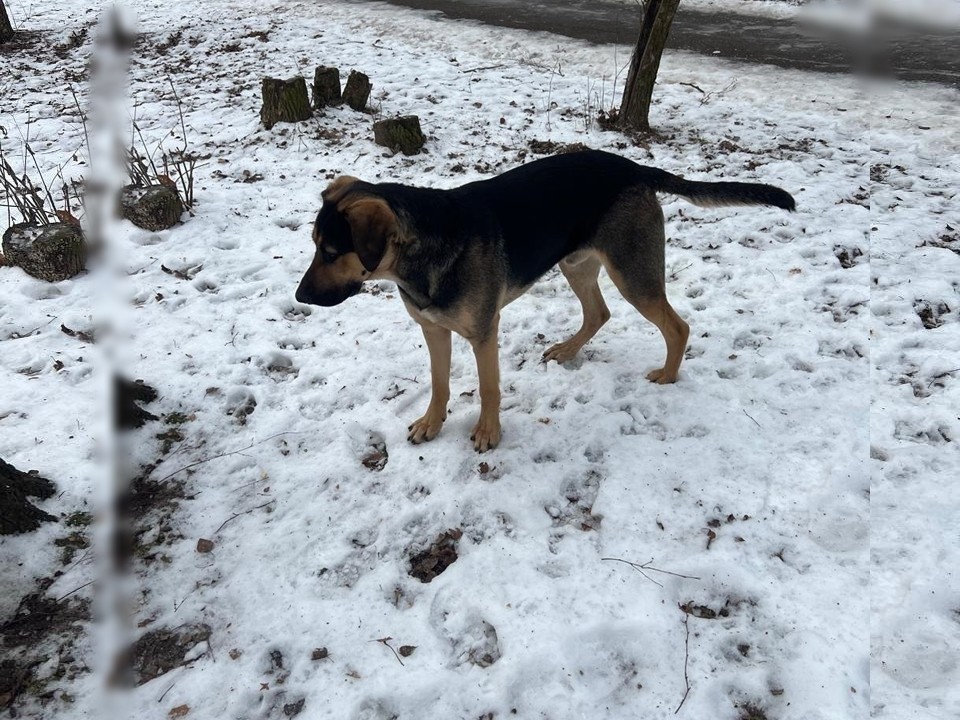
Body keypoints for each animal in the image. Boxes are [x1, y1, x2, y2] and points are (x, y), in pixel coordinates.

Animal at [294, 150, 796, 452]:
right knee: (599, 313)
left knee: (677, 326)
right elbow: (439, 383)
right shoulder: (433, 328)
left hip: (632, 273)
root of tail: (633, 167)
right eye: (315, 245)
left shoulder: (483, 332)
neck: (420, 253)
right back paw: (567, 350)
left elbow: (490, 388)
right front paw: (431, 424)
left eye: (332, 252)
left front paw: (488, 432)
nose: (299, 297)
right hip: (577, 264)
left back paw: (668, 376)